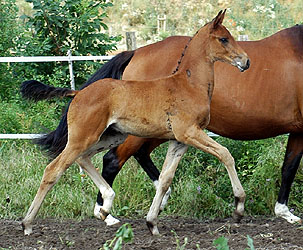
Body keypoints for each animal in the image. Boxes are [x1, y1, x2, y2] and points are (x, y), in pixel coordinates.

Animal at [20, 10, 249, 236]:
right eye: (223, 39)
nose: (246, 61)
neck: (189, 84)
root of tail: (78, 93)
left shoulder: (179, 141)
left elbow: (165, 179)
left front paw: (152, 223)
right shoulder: (190, 133)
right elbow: (226, 155)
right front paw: (238, 206)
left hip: (110, 136)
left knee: (83, 159)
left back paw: (106, 205)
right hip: (83, 137)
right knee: (54, 169)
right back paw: (27, 223)